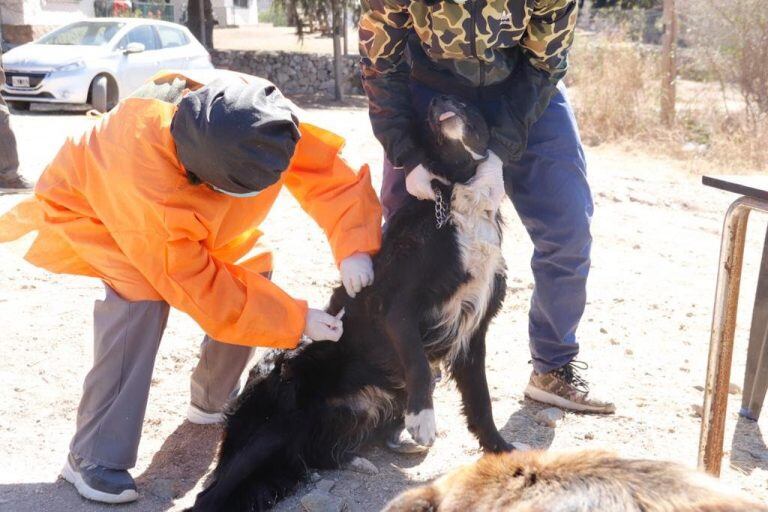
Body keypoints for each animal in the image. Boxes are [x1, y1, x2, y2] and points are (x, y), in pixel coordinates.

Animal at [189, 97, 510, 512]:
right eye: (432, 107)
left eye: (467, 102)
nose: (440, 101)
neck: (454, 195)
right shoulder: (398, 306)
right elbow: (420, 365)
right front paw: (423, 418)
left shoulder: (475, 328)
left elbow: (480, 400)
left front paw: (502, 450)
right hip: (273, 428)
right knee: (211, 494)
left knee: (318, 454)